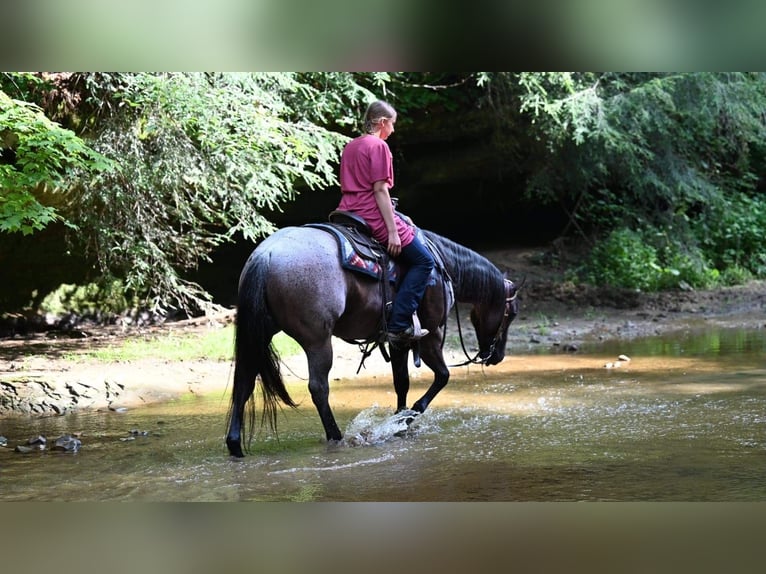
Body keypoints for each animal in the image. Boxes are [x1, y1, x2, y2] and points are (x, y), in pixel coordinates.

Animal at [224, 225, 520, 460]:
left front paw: (400, 420)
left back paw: (234, 444)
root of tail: (266, 255)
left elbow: (401, 382)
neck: (443, 264)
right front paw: (408, 417)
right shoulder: (431, 335)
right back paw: (336, 437)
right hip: (318, 341)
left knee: (244, 382)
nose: (496, 356)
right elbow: (443, 376)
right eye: (512, 313)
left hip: (260, 335)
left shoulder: (399, 341)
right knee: (318, 388)